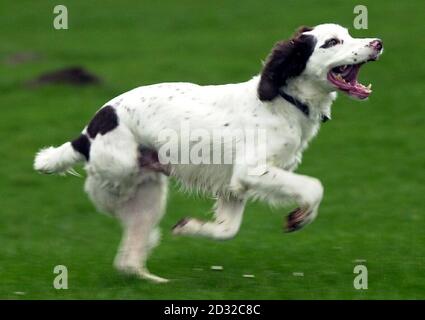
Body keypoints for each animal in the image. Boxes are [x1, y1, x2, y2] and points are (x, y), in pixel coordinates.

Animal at [34, 23, 382, 282]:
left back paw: (153, 275)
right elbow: (313, 187)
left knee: (128, 257)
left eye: (349, 33)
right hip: (122, 173)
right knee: (108, 203)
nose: (377, 43)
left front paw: (189, 226)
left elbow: (227, 230)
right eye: (332, 42)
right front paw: (302, 216)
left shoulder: (235, 186)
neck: (284, 101)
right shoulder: (250, 171)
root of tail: (88, 132)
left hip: (150, 194)